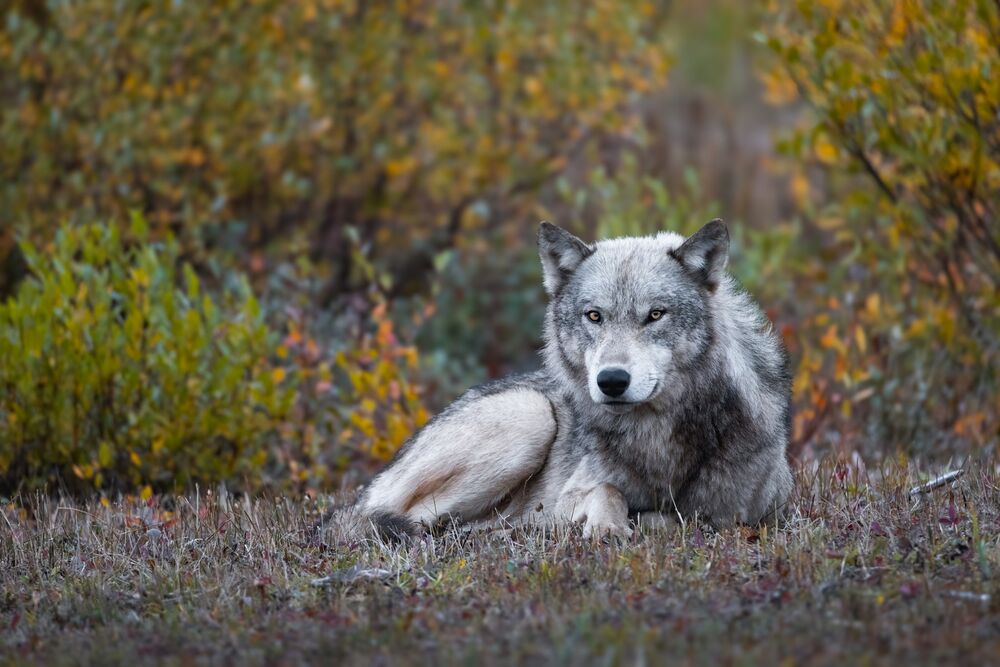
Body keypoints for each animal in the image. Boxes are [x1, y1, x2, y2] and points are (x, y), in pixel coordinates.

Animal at [353, 219, 793, 538]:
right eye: (594, 316)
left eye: (655, 315)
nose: (611, 380)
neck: (655, 440)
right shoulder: (565, 495)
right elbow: (609, 491)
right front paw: (607, 526)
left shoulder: (751, 511)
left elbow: (694, 516)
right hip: (529, 416)